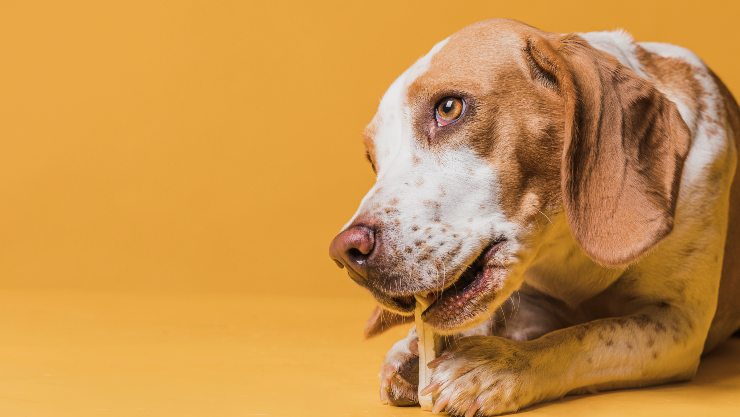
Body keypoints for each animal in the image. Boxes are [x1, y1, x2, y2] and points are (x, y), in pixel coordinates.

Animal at [330, 17, 740, 414]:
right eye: (373, 159)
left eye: (448, 108)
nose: (345, 253)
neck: (566, 247)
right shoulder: (532, 300)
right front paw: (417, 352)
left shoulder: (679, 323)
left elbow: (586, 336)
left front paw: (496, 367)